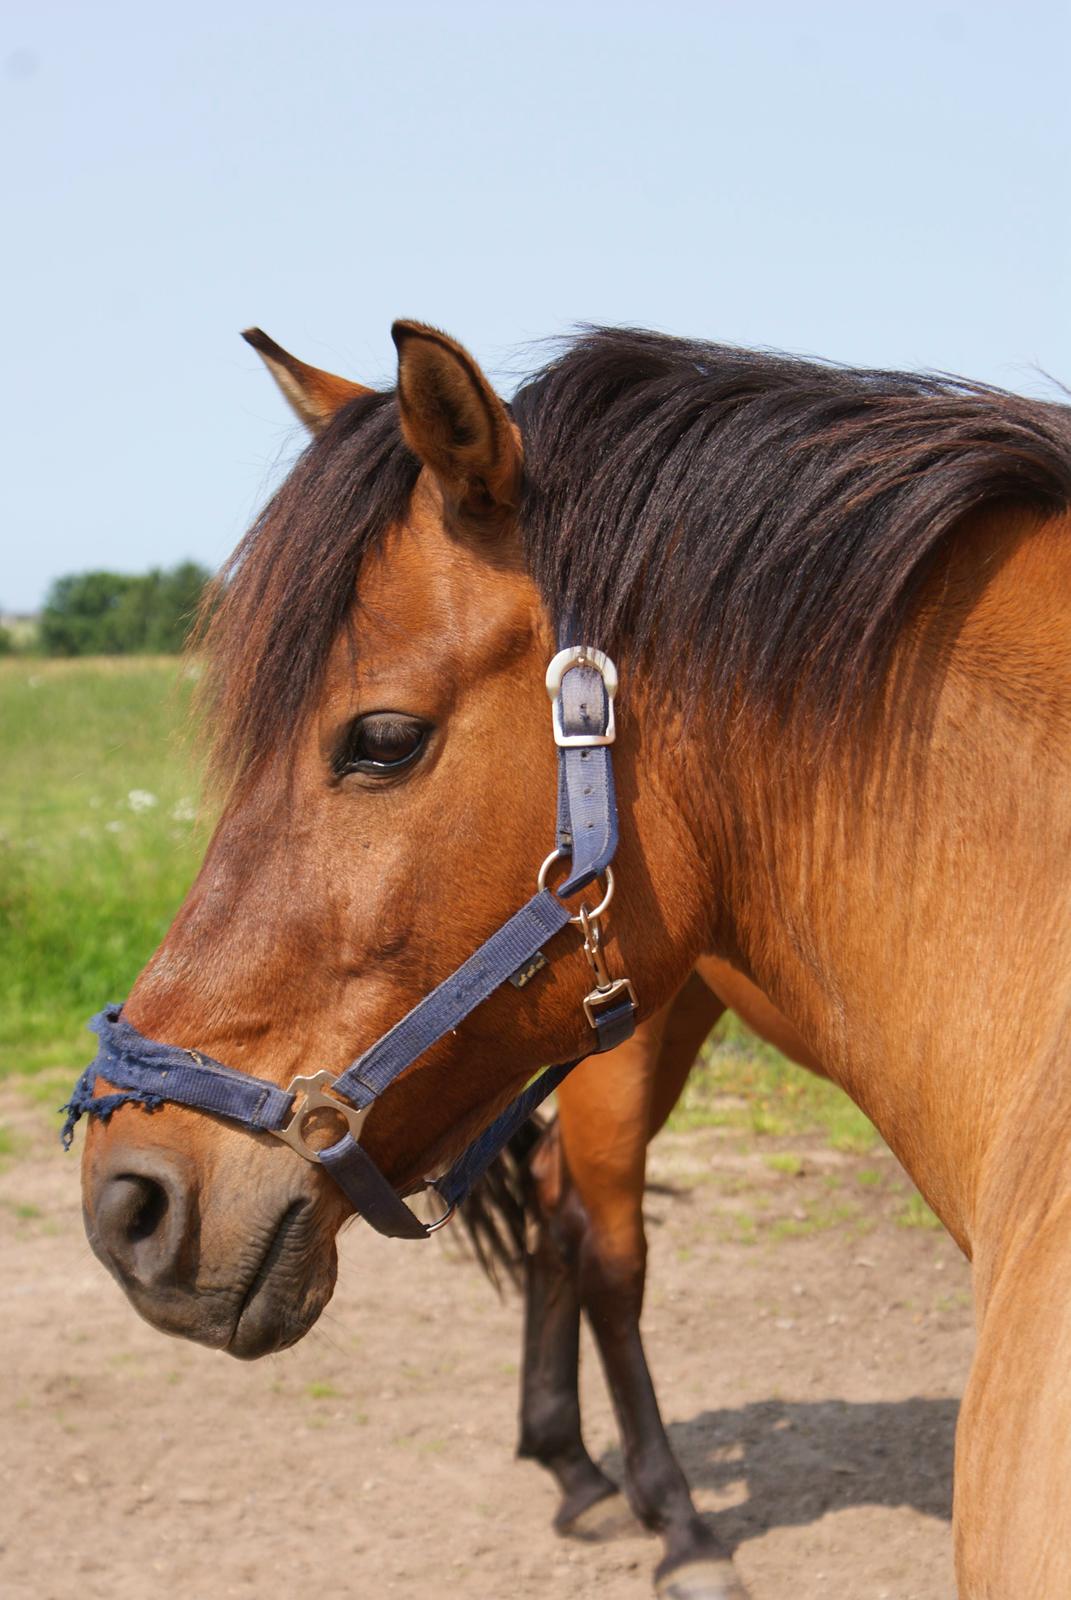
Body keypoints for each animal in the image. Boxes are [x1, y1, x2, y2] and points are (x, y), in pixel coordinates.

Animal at [461, 953, 819, 1580]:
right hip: (617, 1045)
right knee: (612, 1264)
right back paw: (680, 1529)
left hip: (682, 1007)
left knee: (552, 1188)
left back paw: (575, 1470)